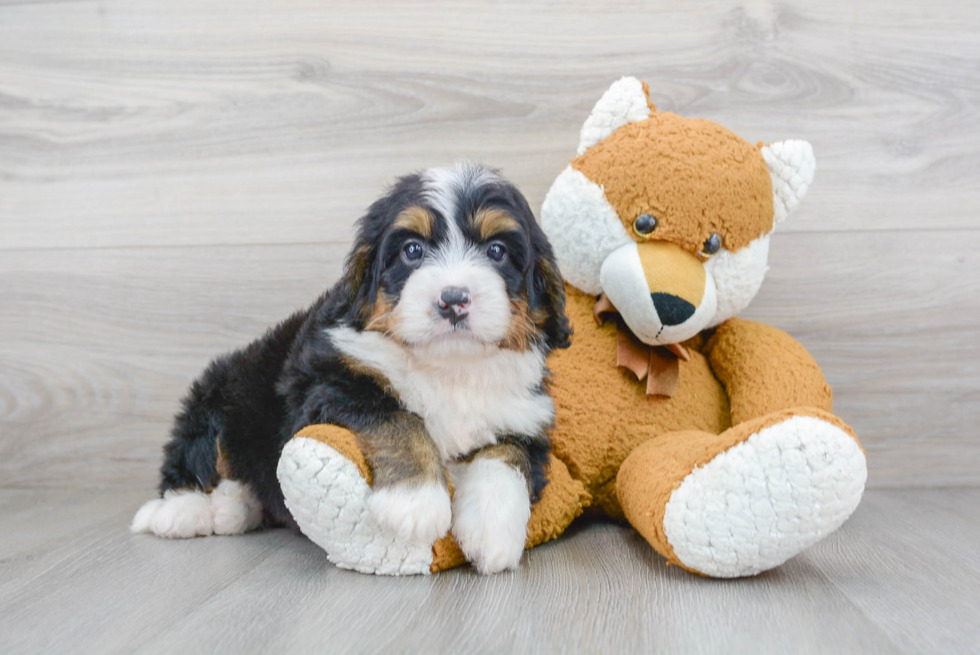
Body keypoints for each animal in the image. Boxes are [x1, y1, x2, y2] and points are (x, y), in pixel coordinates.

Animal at [131, 163, 576, 576]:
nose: (453, 299)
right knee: (196, 458)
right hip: (222, 390)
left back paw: (233, 508)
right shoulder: (329, 382)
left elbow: (507, 455)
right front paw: (415, 502)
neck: (448, 367)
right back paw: (182, 512)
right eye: (412, 250)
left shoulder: (524, 413)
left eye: (497, 251)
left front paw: (493, 530)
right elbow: (399, 418)